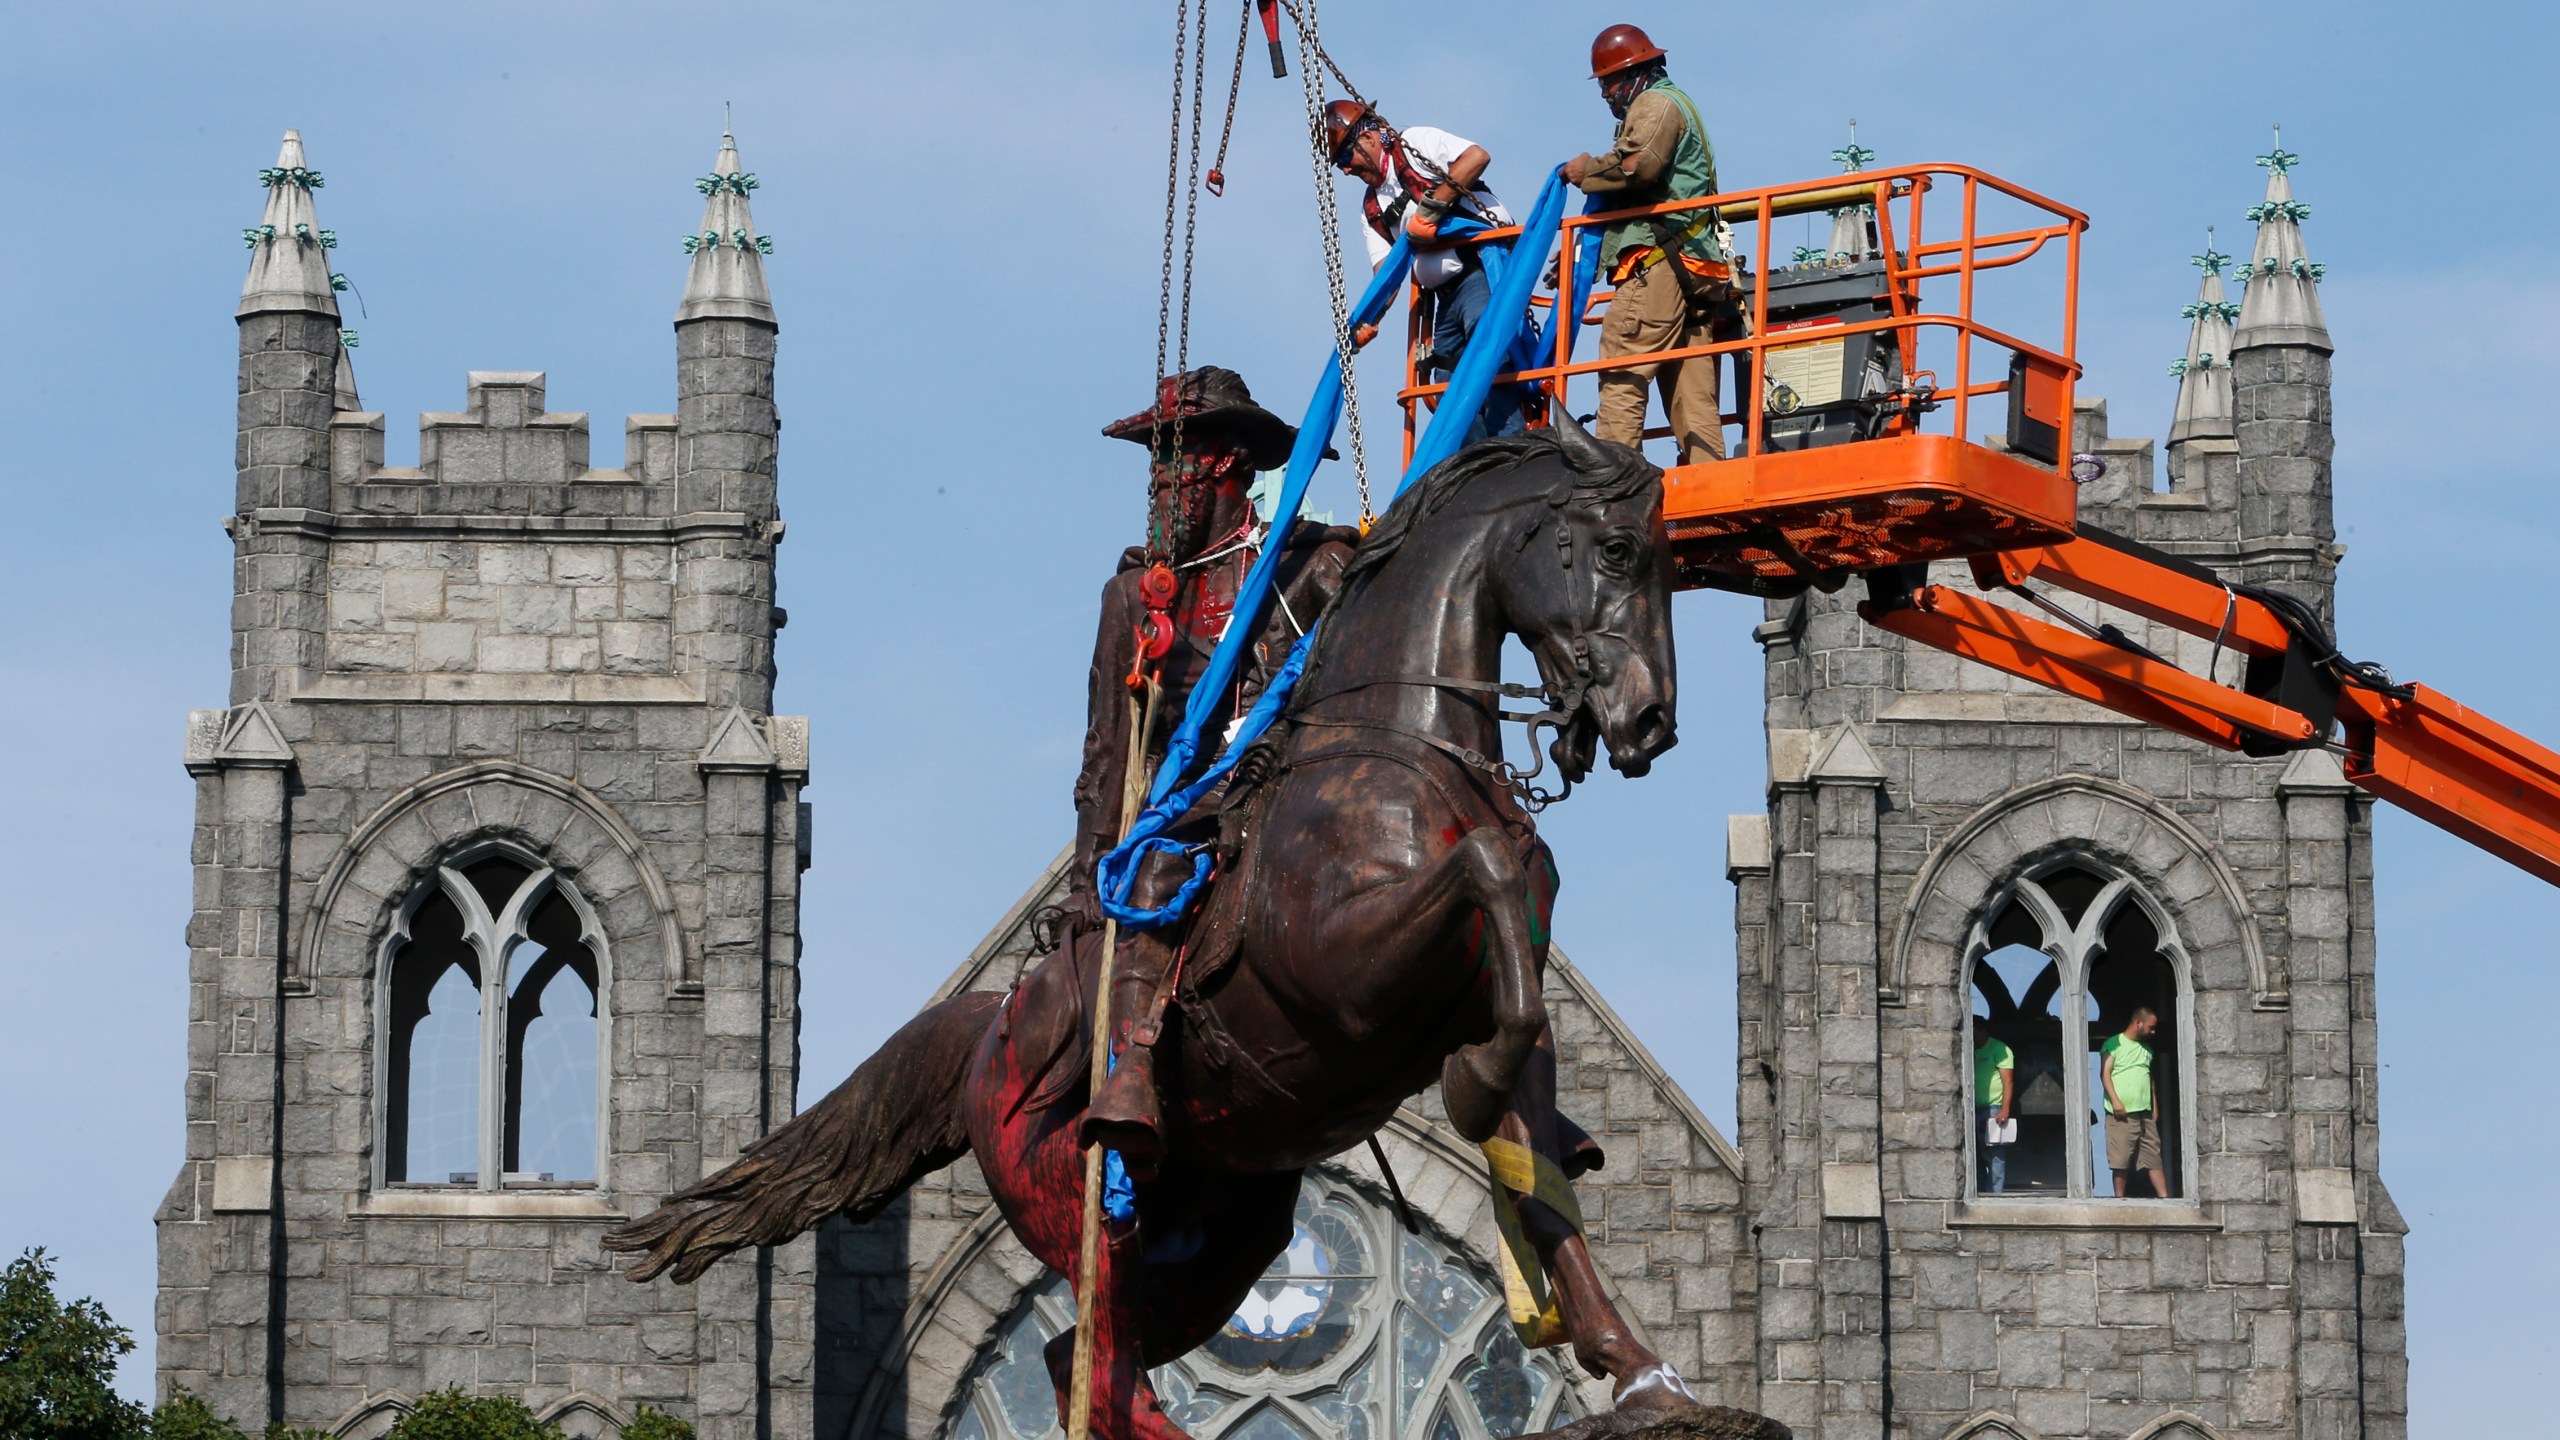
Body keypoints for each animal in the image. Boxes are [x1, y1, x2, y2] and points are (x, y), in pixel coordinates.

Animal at [611, 420, 1751, 1434]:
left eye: (1669, 562)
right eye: (1614, 550)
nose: (1648, 721)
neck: (1398, 748)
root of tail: (988, 1034)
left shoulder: (1493, 1018)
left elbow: (1543, 1182)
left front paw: (1641, 1374)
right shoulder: (1350, 975)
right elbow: (1483, 875)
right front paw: (1471, 1082)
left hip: (1226, 1238)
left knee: (1094, 1357)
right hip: (1071, 1192)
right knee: (1088, 1349)